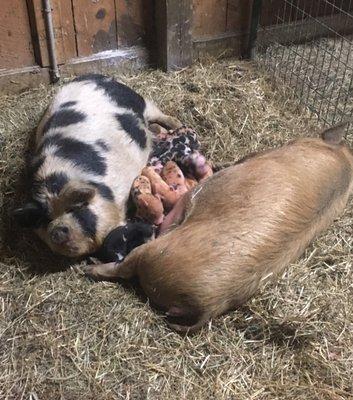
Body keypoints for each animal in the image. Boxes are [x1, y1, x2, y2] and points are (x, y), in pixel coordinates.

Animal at [13, 74, 180, 258]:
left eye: (74, 208)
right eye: (45, 219)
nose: (56, 231)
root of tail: (93, 76)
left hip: (139, 101)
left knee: (156, 112)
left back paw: (177, 125)